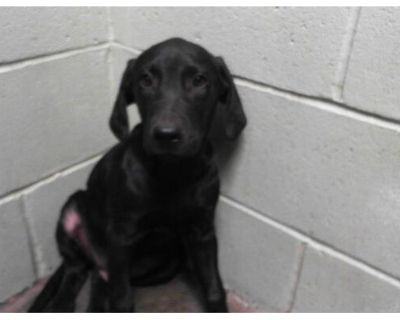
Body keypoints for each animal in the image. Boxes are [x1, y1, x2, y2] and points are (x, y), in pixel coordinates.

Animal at [28, 37, 245, 312]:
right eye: (145, 80)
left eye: (199, 80)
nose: (166, 135)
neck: (172, 171)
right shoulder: (121, 236)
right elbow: (122, 300)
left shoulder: (203, 231)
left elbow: (214, 288)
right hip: (73, 208)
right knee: (74, 269)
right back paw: (62, 304)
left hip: (166, 264)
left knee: (100, 278)